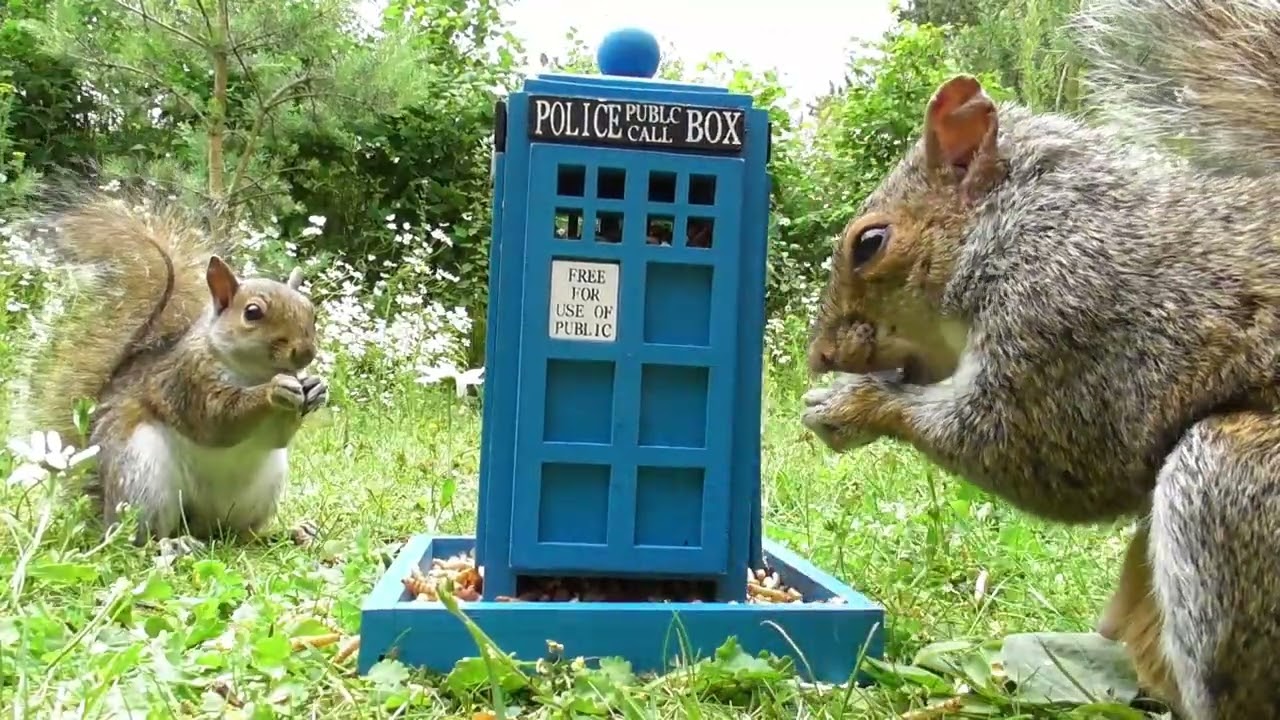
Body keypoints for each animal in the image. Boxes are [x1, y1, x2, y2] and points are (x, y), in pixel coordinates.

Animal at [7, 194, 328, 557]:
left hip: (259, 491)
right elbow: (219, 421)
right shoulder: (186, 381)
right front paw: (274, 391)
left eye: (312, 312)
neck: (251, 372)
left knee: (237, 535)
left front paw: (316, 387)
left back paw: (290, 533)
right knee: (138, 539)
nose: (305, 353)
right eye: (252, 313)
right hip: (142, 480)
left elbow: (277, 438)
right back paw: (172, 544)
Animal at [801, 0, 1280, 716]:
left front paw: (850, 406)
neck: (1014, 225)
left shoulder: (1069, 318)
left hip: (1231, 482)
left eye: (870, 242)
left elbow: (1034, 449)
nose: (820, 356)